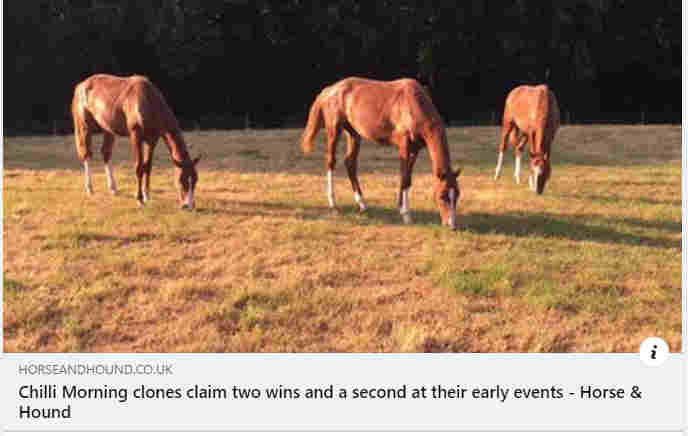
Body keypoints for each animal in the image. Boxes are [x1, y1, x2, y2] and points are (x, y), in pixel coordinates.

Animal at [72, 74, 202, 209]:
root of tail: (81, 85)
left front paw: (147, 195)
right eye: (182, 180)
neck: (148, 102)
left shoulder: (152, 140)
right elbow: (139, 167)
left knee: (106, 153)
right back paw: (90, 189)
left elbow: (147, 166)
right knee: (86, 154)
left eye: (195, 179)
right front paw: (139, 200)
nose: (189, 205)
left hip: (108, 128)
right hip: (84, 125)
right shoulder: (136, 136)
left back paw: (113, 188)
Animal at [300, 76, 462, 230]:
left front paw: (401, 208)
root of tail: (330, 90)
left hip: (354, 134)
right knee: (331, 162)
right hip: (334, 130)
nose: (452, 225)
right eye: (442, 196)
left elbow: (407, 179)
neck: (412, 105)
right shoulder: (404, 147)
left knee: (350, 163)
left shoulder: (415, 150)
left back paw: (362, 204)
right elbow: (404, 178)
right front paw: (406, 215)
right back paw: (333, 203)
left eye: (457, 194)